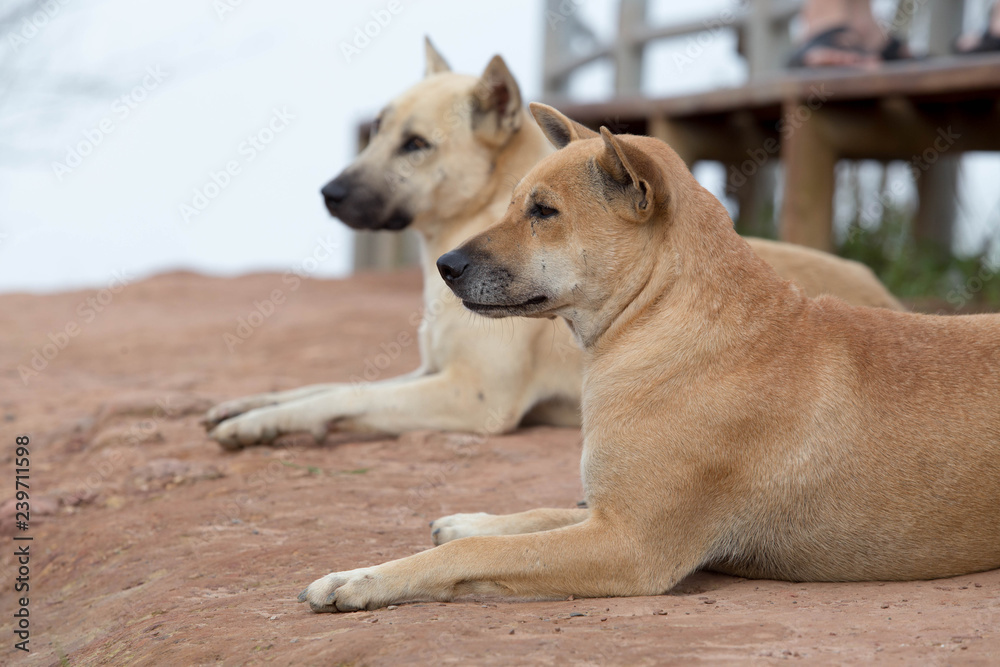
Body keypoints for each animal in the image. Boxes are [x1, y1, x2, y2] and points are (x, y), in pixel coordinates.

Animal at [294, 102, 992, 612]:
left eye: (543, 211)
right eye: (515, 201)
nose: (445, 266)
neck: (661, 318)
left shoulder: (628, 544)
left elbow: (472, 558)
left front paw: (362, 579)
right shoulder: (611, 512)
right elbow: (537, 516)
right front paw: (477, 519)